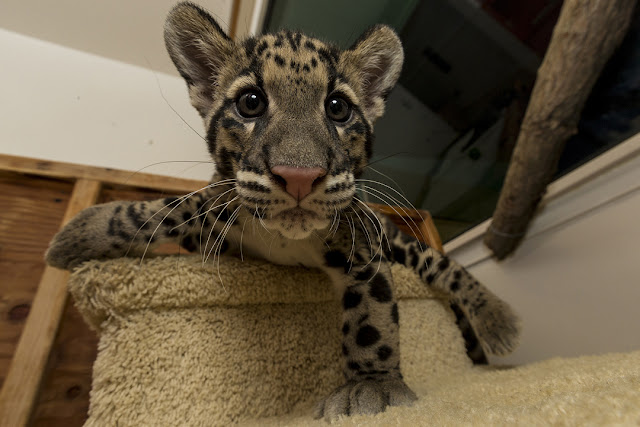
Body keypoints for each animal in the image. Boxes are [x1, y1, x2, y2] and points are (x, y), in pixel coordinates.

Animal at [45, 2, 521, 421]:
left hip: (393, 235)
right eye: (251, 103)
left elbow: (373, 316)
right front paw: (78, 234)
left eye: (338, 108)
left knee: (441, 265)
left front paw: (374, 384)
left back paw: (497, 320)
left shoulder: (363, 245)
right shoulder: (215, 211)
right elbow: (166, 210)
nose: (299, 176)